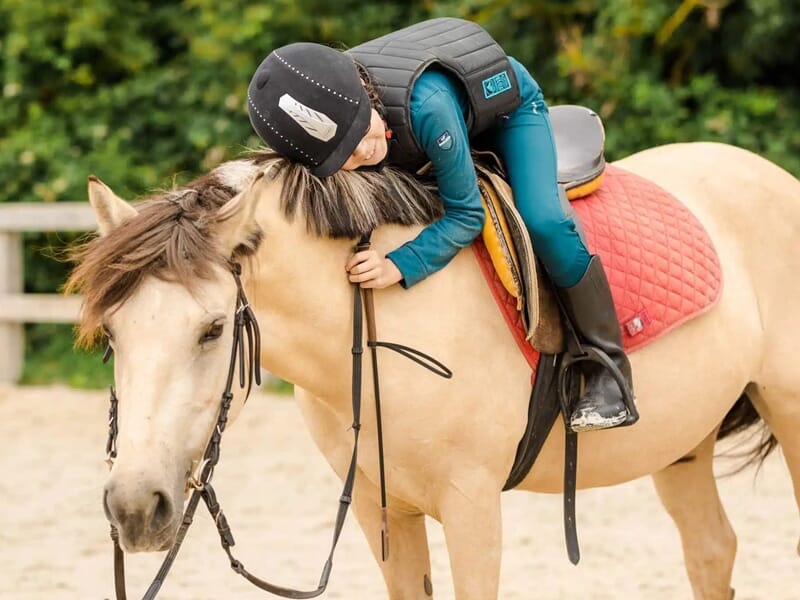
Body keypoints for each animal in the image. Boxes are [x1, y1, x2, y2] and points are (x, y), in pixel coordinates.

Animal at [69, 142, 800, 600]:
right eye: (111, 336)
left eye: (213, 329)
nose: (135, 507)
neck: (380, 320)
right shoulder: (382, 510)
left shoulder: (473, 507)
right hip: (683, 447)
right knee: (712, 553)